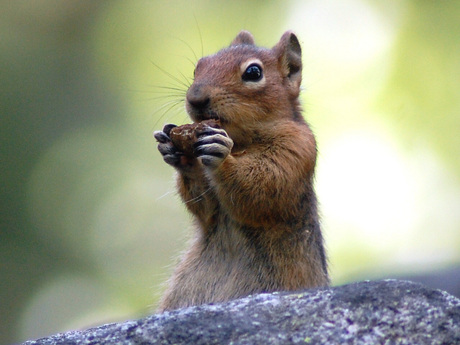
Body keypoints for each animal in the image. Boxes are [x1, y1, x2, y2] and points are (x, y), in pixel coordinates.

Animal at [156, 30, 328, 310]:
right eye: (197, 67)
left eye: (253, 72)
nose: (195, 97)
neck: (240, 142)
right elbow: (205, 209)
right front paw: (177, 154)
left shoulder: (298, 148)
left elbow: (262, 188)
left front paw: (221, 157)